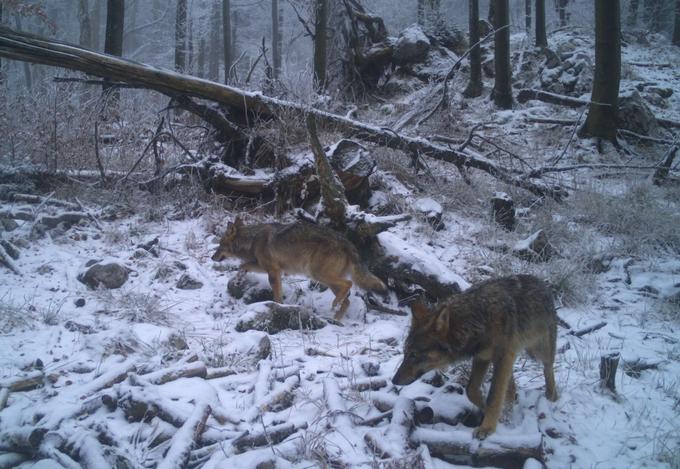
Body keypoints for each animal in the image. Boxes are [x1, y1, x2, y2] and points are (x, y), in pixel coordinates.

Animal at [211, 218, 388, 320]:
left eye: (220, 245)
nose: (212, 257)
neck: (252, 240)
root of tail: (348, 243)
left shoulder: (273, 271)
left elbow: (276, 294)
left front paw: (278, 307)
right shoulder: (268, 268)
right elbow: (243, 266)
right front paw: (238, 278)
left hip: (319, 275)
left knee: (348, 285)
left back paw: (334, 307)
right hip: (326, 281)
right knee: (347, 300)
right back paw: (335, 318)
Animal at [394, 274, 556, 438]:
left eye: (414, 354)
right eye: (405, 352)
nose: (394, 380)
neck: (479, 318)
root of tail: (541, 282)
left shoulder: (502, 356)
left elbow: (494, 396)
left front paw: (487, 427)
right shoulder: (482, 357)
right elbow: (471, 390)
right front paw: (487, 410)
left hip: (537, 351)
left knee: (548, 367)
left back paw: (551, 396)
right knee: (511, 387)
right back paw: (508, 412)